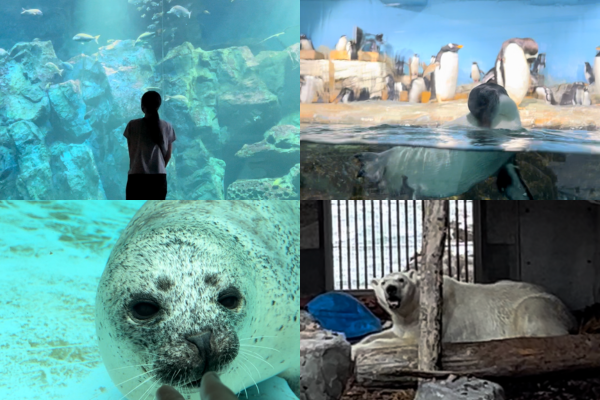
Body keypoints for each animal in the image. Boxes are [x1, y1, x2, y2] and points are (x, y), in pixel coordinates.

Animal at [352, 270, 576, 358]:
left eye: (401, 280)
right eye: (383, 282)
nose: (390, 289)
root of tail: (569, 312)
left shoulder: (431, 319)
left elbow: (406, 341)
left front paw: (356, 350)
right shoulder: (403, 320)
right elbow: (389, 333)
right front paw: (358, 342)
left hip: (537, 305)